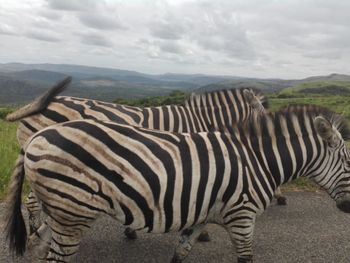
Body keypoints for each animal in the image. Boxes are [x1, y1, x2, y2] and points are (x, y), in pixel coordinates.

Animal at [4, 105, 350, 263]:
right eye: (349, 162)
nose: (348, 208)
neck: (258, 160)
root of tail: (35, 137)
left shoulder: (202, 216)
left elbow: (180, 253)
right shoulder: (242, 215)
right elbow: (246, 257)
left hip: (62, 209)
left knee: (38, 245)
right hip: (72, 211)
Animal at [6, 77, 284, 241]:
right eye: (265, 121)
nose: (280, 197)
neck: (200, 121)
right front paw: (198, 232)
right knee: (32, 202)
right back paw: (35, 232)